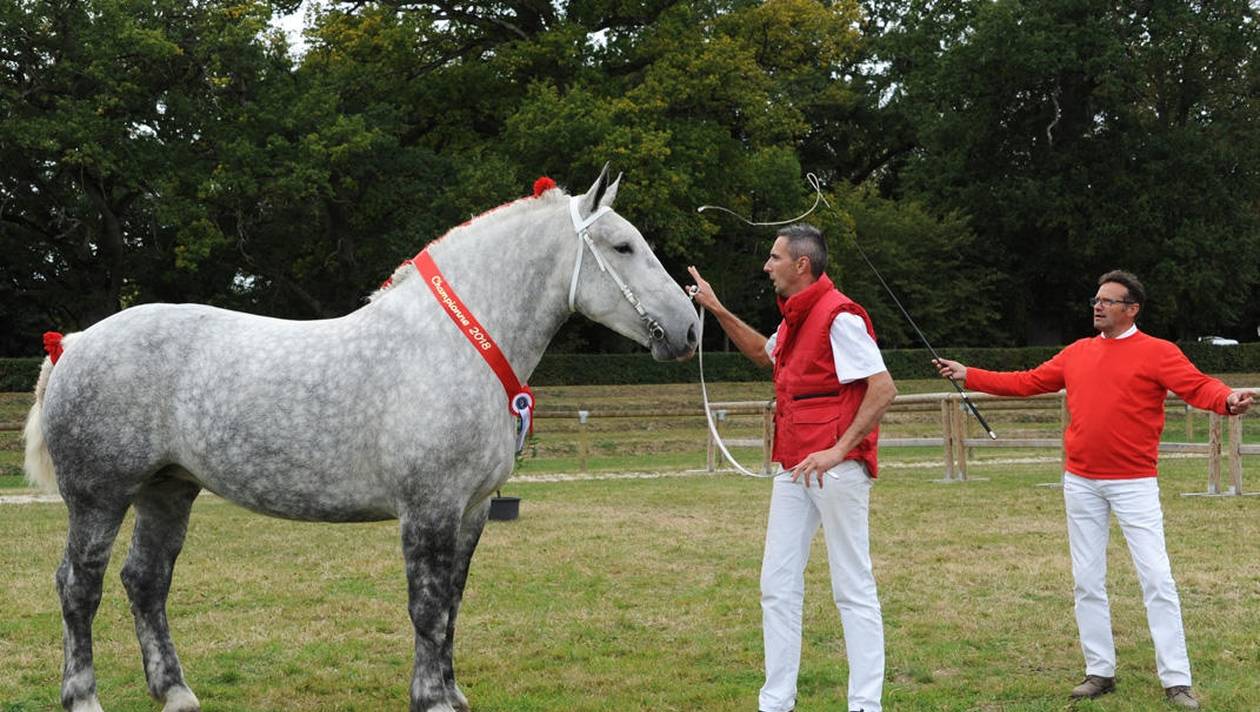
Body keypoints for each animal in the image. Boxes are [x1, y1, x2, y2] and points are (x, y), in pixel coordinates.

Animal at [24, 167, 700, 710]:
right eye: (622, 245)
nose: (690, 330)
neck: (453, 344)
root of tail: (75, 343)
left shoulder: (472, 511)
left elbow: (452, 603)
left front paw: (452, 690)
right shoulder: (428, 509)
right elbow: (426, 606)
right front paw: (431, 699)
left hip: (167, 491)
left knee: (145, 582)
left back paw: (176, 693)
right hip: (100, 498)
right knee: (78, 587)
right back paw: (83, 697)